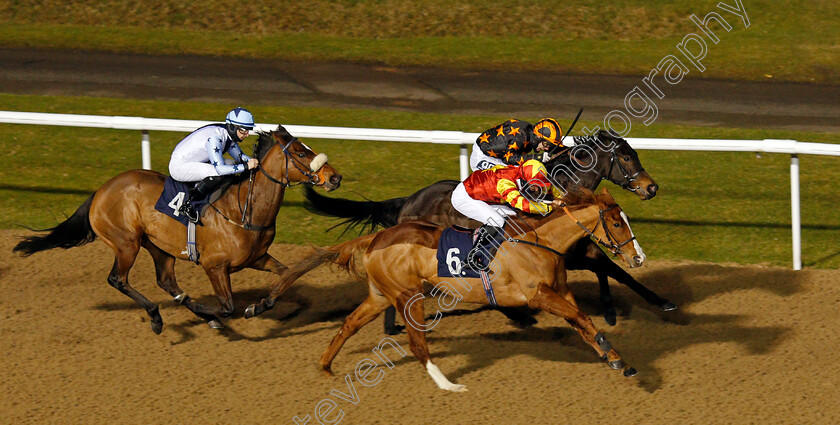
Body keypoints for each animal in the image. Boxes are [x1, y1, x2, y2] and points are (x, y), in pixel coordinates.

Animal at [13, 125, 342, 332]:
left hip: (158, 247)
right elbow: (227, 307)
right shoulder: (214, 266)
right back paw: (159, 317)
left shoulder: (257, 258)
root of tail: (101, 190)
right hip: (127, 243)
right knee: (118, 279)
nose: (335, 177)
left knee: (167, 282)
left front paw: (261, 305)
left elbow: (288, 276)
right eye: (300, 153)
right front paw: (216, 314)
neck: (244, 209)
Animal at [262, 187, 644, 390]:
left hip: (380, 295)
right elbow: (583, 319)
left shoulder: (559, 292)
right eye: (615, 222)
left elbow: (582, 323)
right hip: (408, 295)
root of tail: (377, 237)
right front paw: (614, 355)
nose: (638, 256)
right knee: (417, 344)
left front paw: (617, 359)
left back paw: (326, 365)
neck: (540, 241)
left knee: (348, 325)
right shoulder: (538, 295)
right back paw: (448, 384)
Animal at [298, 129, 672, 324]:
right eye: (627, 157)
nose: (652, 187)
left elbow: (611, 268)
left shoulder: (578, 246)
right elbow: (608, 267)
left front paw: (632, 305)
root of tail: (407, 201)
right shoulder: (562, 251)